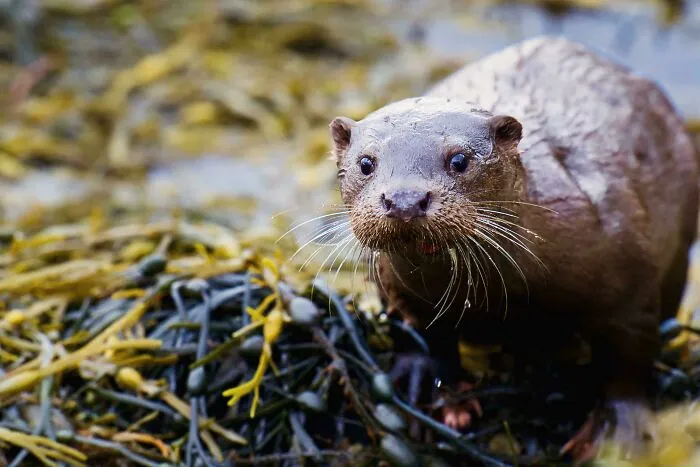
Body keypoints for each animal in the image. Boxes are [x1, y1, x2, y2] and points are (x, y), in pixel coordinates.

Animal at [328, 36, 699, 460]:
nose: (405, 199)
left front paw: (618, 431)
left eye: (460, 159)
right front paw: (423, 387)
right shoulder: (394, 283)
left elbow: (629, 358)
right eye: (366, 163)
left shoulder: (629, 279)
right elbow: (416, 331)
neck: (500, 293)